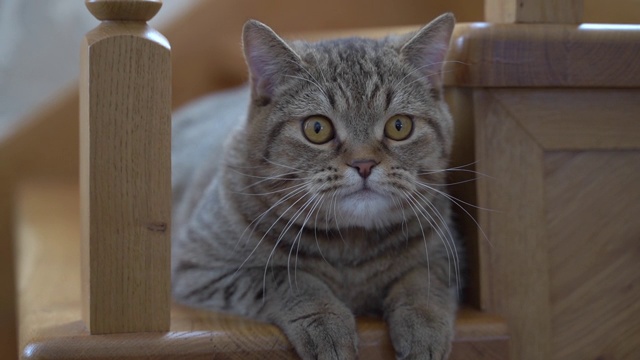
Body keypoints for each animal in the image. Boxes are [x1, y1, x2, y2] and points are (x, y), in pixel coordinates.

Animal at [170, 13, 460, 360]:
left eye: (399, 126)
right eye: (317, 128)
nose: (364, 164)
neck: (350, 247)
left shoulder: (445, 255)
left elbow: (424, 282)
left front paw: (424, 325)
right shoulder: (199, 268)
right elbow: (289, 278)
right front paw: (326, 322)